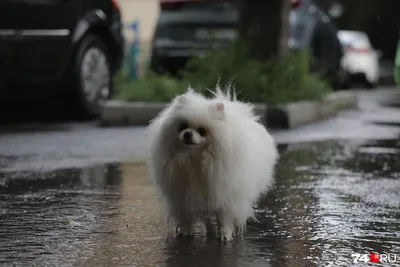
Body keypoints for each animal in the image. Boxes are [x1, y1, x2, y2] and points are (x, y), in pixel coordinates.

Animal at [147, 86, 278, 243]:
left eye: (202, 131)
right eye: (183, 126)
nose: (188, 134)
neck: (195, 159)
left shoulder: (226, 197)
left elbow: (224, 219)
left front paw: (225, 235)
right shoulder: (183, 196)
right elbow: (186, 218)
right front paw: (185, 232)